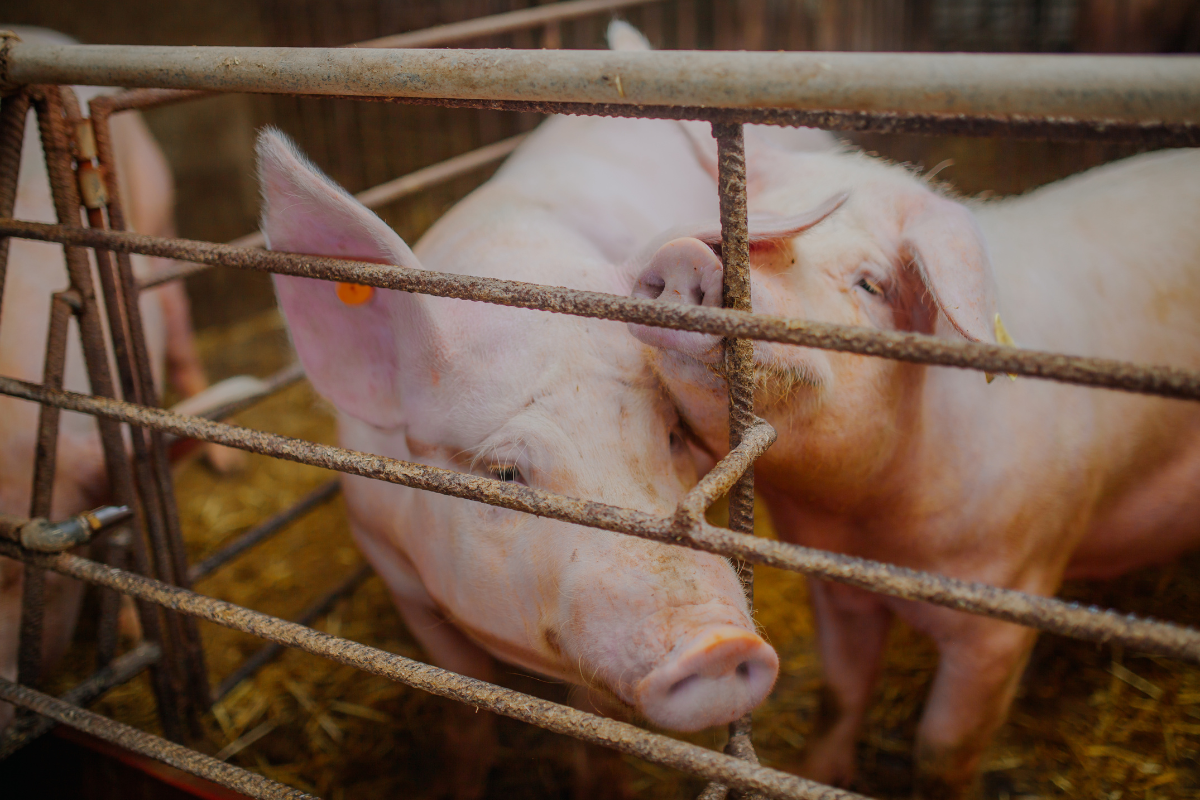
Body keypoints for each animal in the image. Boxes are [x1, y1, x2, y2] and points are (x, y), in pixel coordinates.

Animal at [628, 126, 1200, 796]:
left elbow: (942, 750)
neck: (872, 527)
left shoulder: (1007, 610)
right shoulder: (835, 584)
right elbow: (839, 696)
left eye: (871, 284)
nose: (686, 254)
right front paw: (815, 775)